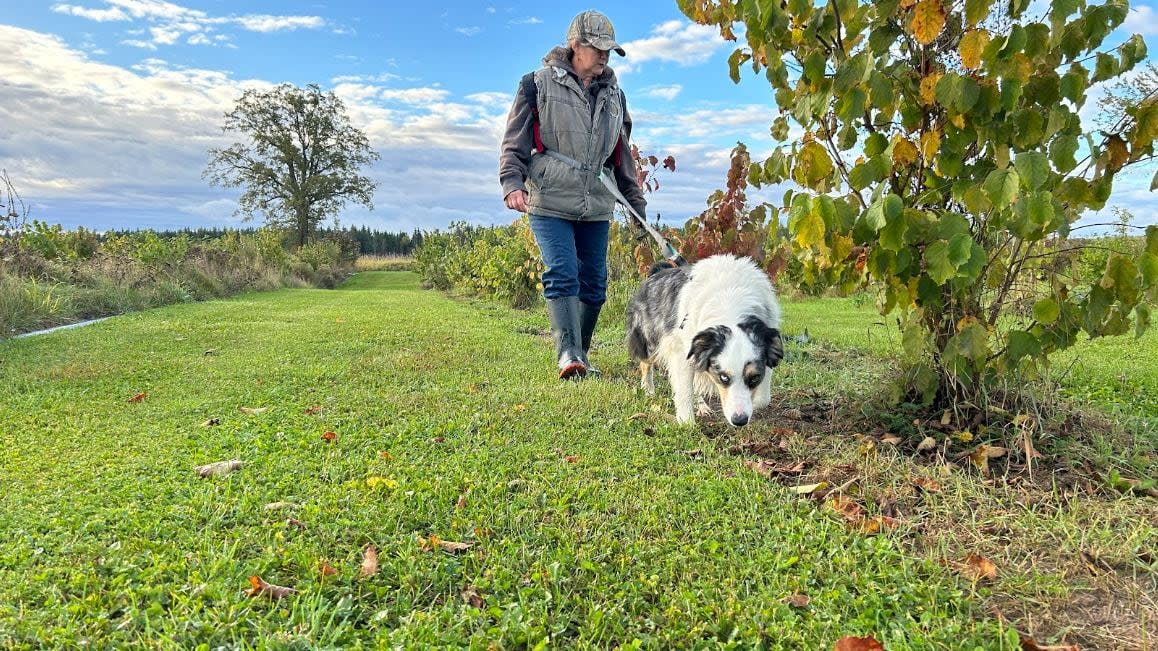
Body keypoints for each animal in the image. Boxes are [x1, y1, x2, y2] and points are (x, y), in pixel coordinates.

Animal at [629, 253, 782, 426]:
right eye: (723, 377)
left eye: (755, 377)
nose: (739, 420)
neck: (729, 302)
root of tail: (656, 272)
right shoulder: (682, 350)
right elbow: (684, 389)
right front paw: (686, 423)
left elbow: (764, 398)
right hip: (649, 339)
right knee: (646, 364)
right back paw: (648, 389)